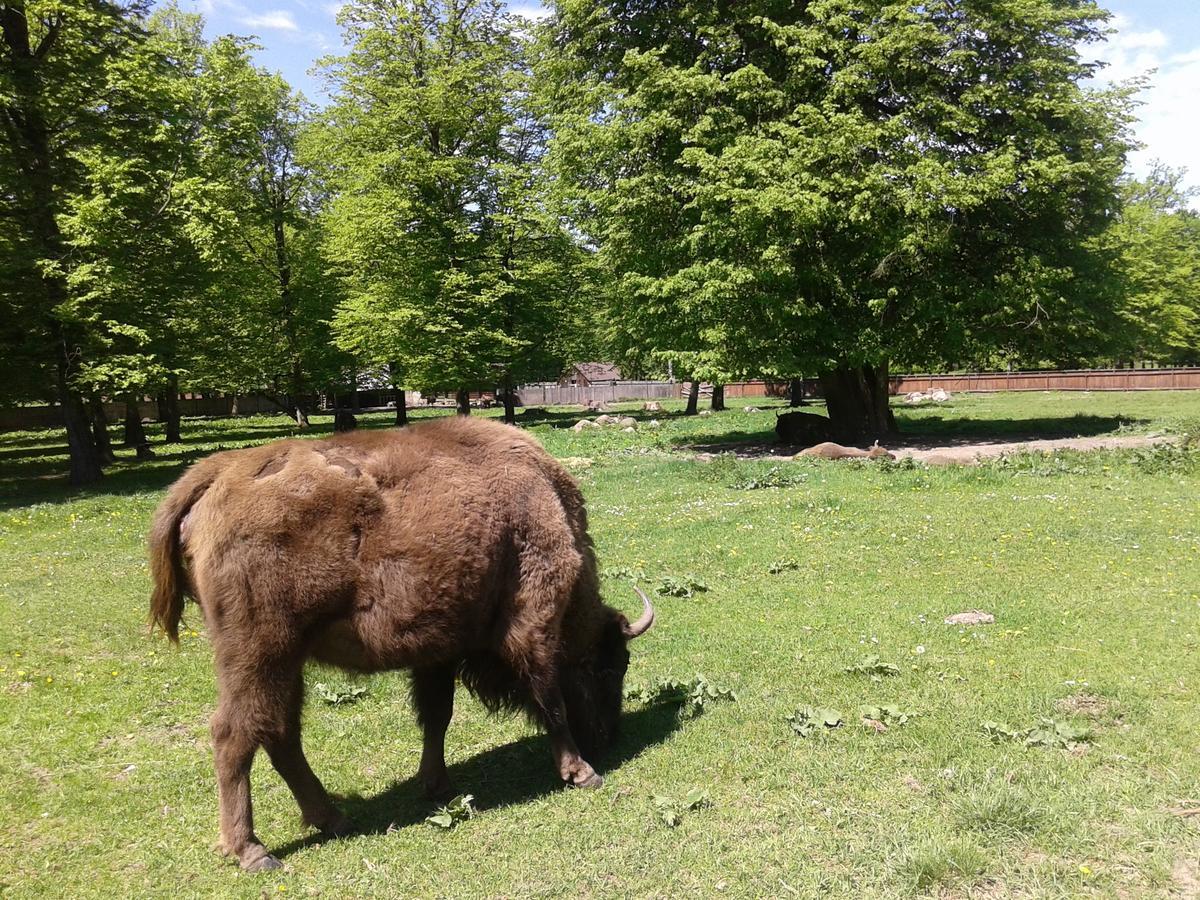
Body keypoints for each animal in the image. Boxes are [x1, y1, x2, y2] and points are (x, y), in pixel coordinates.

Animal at [152, 417, 657, 873]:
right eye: (612, 666)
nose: (608, 737)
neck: (544, 502)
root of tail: (220, 472)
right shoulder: (533, 626)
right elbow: (550, 702)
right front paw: (581, 772)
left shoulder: (438, 651)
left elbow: (437, 714)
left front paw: (436, 784)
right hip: (259, 654)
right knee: (233, 735)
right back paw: (253, 852)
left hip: (285, 661)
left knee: (280, 734)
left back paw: (333, 818)